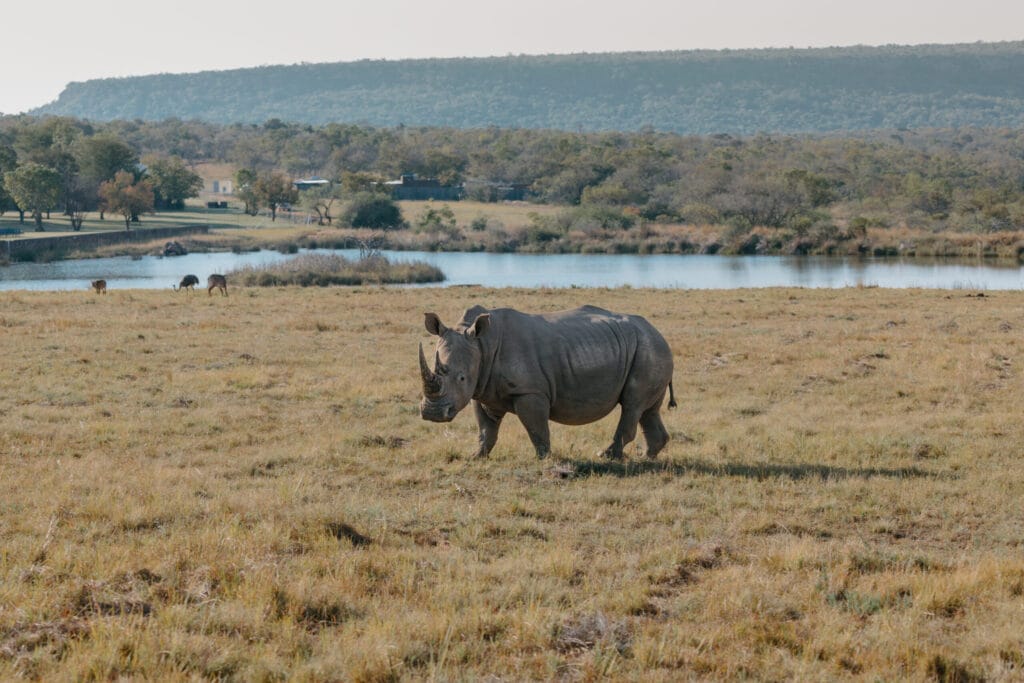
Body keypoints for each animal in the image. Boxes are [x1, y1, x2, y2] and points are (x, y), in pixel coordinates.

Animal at [419, 305, 676, 460]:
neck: (482, 344)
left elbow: (537, 428)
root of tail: (658, 333)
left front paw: (543, 459)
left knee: (632, 404)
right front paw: (476, 457)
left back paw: (606, 456)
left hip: (648, 349)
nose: (432, 414)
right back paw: (646, 459)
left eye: (461, 377)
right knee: (647, 410)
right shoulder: (482, 390)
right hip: (648, 349)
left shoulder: (530, 391)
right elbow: (486, 428)